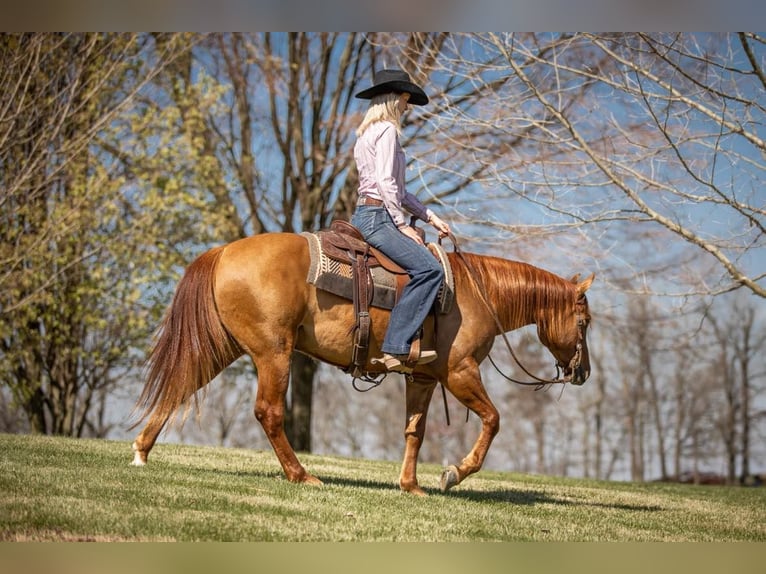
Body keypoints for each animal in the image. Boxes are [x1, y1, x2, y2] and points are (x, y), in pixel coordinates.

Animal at [132, 232, 596, 498]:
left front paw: (410, 486)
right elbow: (494, 420)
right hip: (273, 352)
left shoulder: (423, 378)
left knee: (180, 385)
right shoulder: (460, 372)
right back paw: (302, 476)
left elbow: (414, 432)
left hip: (225, 346)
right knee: (269, 412)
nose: (583, 373)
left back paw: (141, 451)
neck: (477, 292)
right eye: (585, 322)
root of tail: (224, 249)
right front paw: (453, 474)